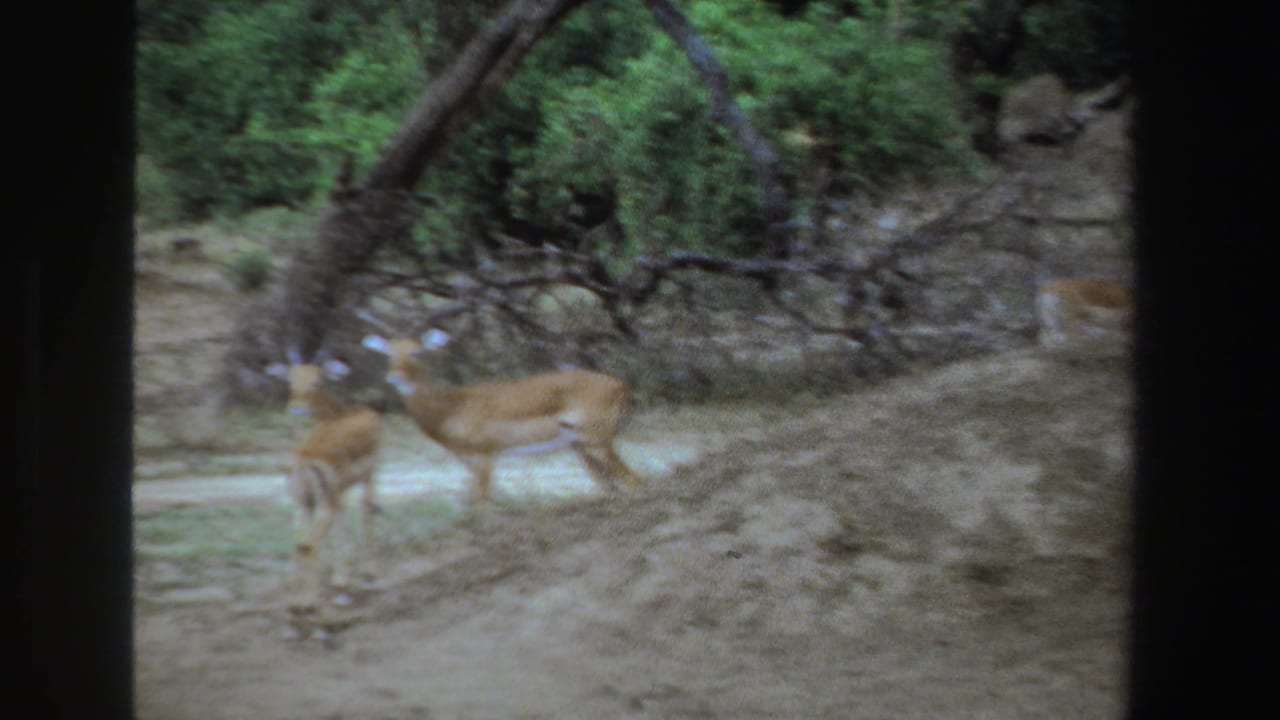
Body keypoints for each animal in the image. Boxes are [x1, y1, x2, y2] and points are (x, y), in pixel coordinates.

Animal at [266, 351, 381, 603]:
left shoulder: (342, 490)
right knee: (310, 544)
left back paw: (298, 597)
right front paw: (360, 574)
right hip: (323, 502)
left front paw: (341, 577)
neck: (342, 413)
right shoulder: (368, 475)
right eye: (290, 379)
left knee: (301, 544)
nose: (296, 408)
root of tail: (304, 461)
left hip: (304, 504)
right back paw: (308, 602)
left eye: (316, 380)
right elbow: (366, 511)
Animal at [361, 329, 642, 506]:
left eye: (417, 352)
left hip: (597, 443)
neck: (452, 407)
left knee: (634, 481)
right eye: (388, 353)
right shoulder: (469, 462)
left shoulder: (485, 457)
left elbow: (482, 505)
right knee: (613, 488)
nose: (395, 378)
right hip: (581, 448)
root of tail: (622, 385)